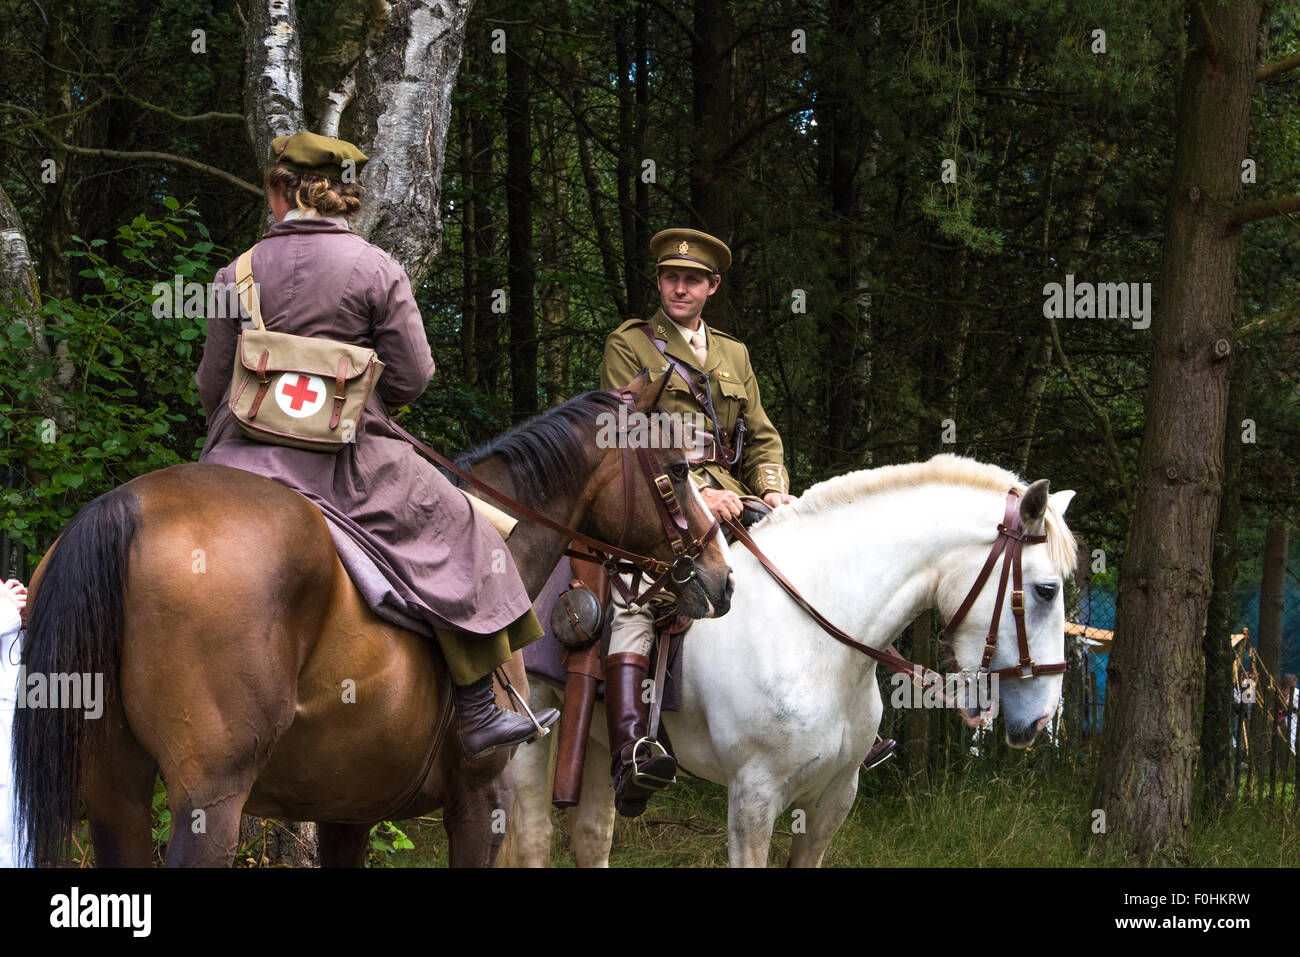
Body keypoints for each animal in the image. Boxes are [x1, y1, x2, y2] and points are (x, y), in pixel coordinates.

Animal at [12, 371, 733, 868]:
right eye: (677, 469)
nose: (720, 577)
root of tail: (124, 508)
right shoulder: (482, 799)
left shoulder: (348, 810)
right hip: (208, 800)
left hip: (114, 795)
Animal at [501, 455, 1081, 868]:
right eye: (1046, 590)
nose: (1040, 721)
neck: (819, 647)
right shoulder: (752, 800)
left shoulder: (832, 800)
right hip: (537, 727)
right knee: (532, 838)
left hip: (599, 740)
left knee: (591, 836)